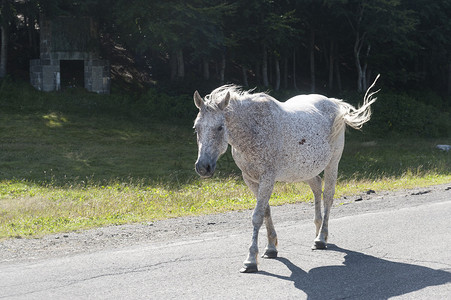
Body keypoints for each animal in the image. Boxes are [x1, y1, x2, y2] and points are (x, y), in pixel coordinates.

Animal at [192, 76, 380, 274]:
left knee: (328, 196)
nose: (203, 167)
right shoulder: (250, 179)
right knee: (316, 186)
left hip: (332, 164)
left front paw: (250, 260)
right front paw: (271, 248)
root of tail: (334, 103)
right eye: (196, 128)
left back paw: (321, 238)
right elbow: (266, 212)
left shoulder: (267, 178)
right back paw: (318, 231)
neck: (253, 130)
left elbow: (257, 216)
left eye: (220, 128)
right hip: (306, 169)